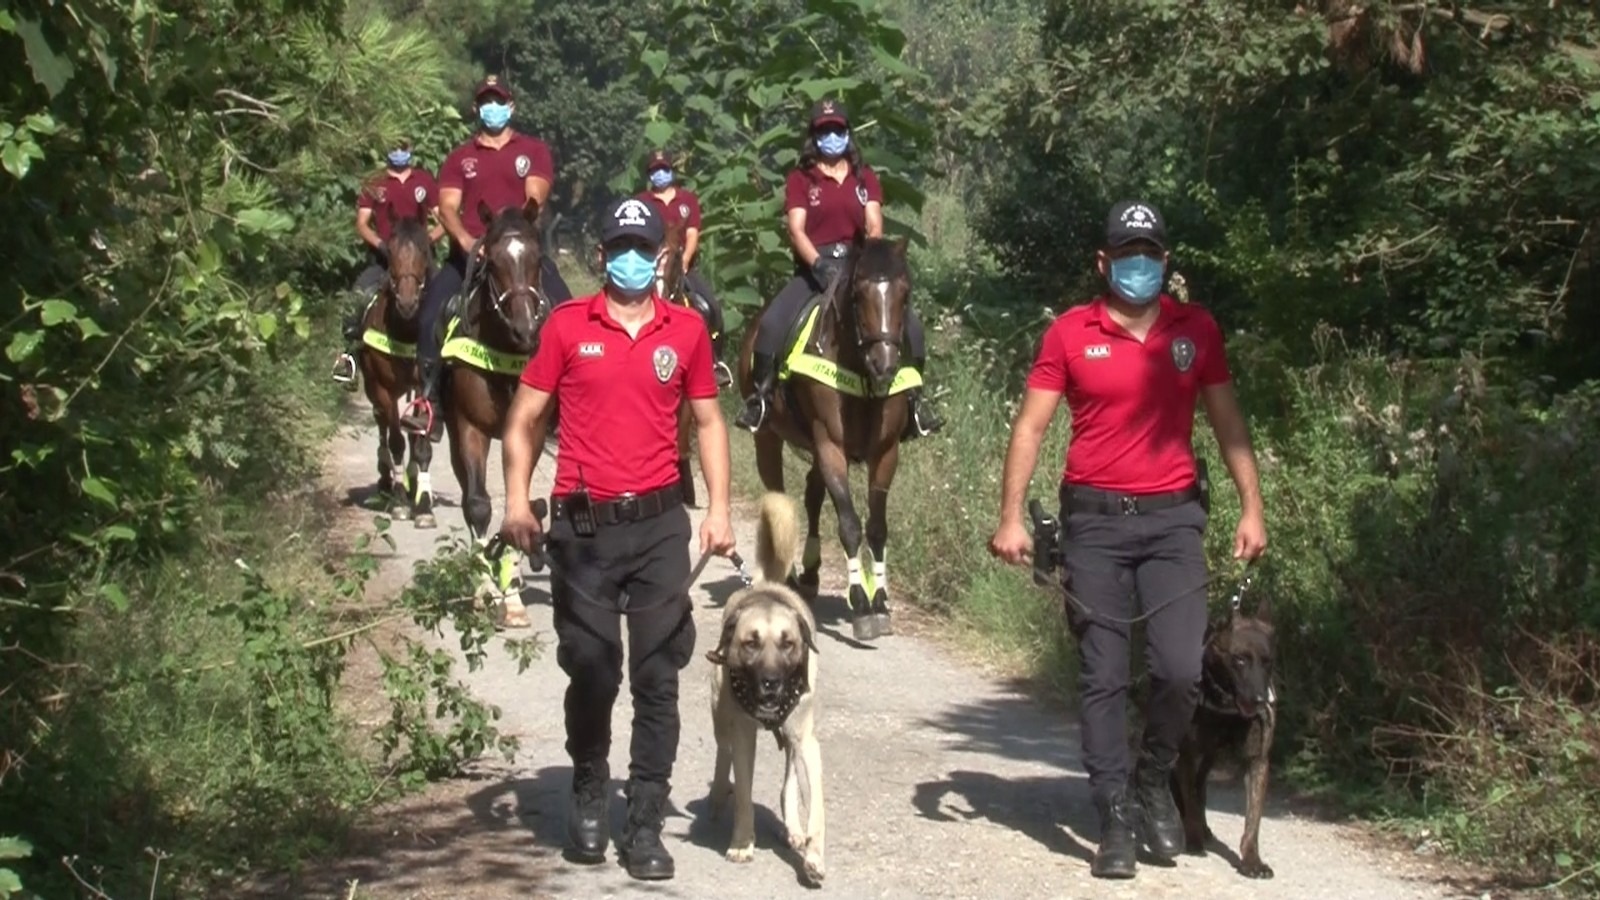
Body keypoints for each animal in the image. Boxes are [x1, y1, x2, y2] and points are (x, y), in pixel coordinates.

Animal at [441, 196, 553, 627]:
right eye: (492, 262)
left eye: (538, 258)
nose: (526, 331)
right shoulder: (468, 427)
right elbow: (478, 504)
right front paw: (485, 592)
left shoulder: (528, 431)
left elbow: (519, 502)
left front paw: (514, 598)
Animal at [704, 486, 819, 877]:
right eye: (750, 643)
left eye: (788, 643)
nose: (771, 682)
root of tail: (765, 582)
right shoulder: (743, 736)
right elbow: (743, 795)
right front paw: (742, 843)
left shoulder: (807, 742)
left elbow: (815, 805)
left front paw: (814, 856)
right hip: (720, 716)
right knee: (723, 755)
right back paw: (717, 795)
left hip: (793, 739)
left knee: (788, 782)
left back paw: (794, 828)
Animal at [736, 230, 915, 637]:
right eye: (858, 293)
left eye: (905, 293)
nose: (885, 365)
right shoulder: (830, 445)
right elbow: (849, 524)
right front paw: (862, 604)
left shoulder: (886, 453)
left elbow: (877, 526)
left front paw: (880, 599)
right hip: (767, 436)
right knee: (780, 498)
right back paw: (787, 576)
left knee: (812, 495)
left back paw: (811, 572)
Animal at [1164, 589, 1273, 877]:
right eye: (1240, 659)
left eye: (1268, 662)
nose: (1260, 700)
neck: (1227, 709)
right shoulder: (1187, 757)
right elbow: (1190, 801)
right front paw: (1192, 840)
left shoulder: (1257, 762)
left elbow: (1253, 820)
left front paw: (1252, 860)